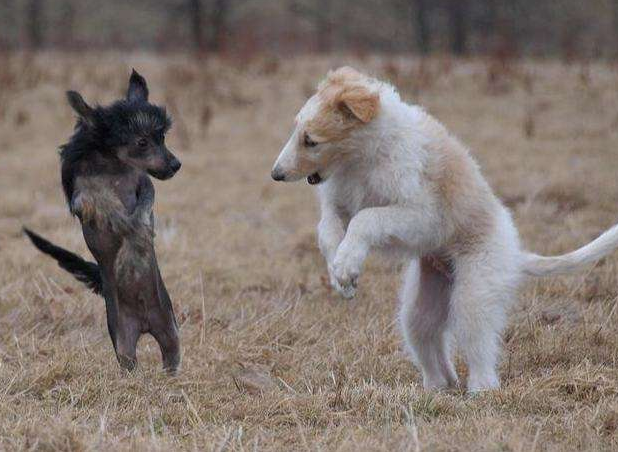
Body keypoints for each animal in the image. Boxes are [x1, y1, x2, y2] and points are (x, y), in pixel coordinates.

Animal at [24, 69, 183, 374]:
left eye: (162, 137)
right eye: (142, 142)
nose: (176, 165)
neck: (112, 165)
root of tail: (145, 324)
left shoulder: (144, 184)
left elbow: (142, 210)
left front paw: (138, 239)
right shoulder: (82, 197)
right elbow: (105, 202)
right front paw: (123, 224)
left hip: (169, 329)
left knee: (171, 356)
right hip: (123, 339)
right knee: (128, 362)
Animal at [270, 66, 618, 392]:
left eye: (311, 140)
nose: (275, 175)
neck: (363, 157)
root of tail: (516, 253)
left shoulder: (422, 215)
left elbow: (366, 218)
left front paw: (346, 266)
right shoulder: (337, 202)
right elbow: (328, 230)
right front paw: (341, 274)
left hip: (474, 292)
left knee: (478, 344)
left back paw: (480, 389)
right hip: (422, 304)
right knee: (430, 343)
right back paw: (437, 387)